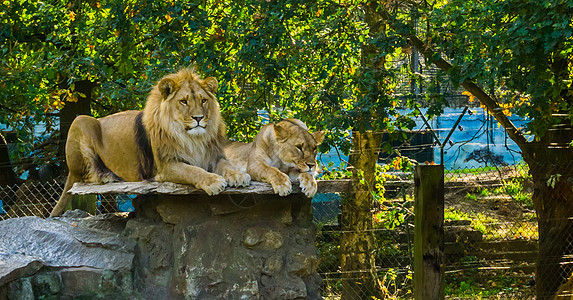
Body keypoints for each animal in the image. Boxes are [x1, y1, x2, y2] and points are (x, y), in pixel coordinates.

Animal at [51, 69, 250, 217]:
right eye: (183, 101)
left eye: (203, 100)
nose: (199, 118)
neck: (192, 139)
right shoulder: (165, 166)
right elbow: (193, 170)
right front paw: (213, 181)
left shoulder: (213, 157)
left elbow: (226, 165)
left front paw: (239, 176)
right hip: (81, 120)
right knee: (86, 174)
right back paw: (107, 176)